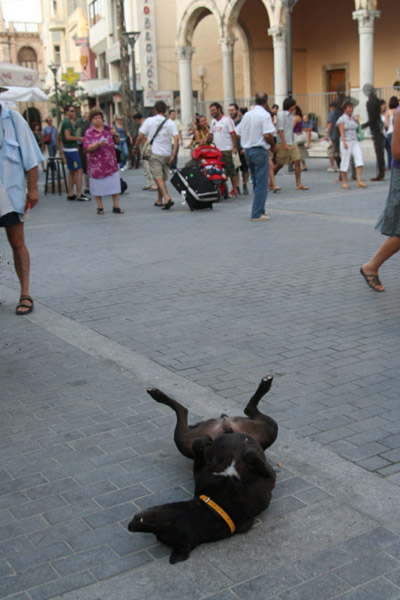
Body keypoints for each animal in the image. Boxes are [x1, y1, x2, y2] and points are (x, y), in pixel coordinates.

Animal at [128, 376, 278, 564]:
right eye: (159, 530)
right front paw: (210, 441)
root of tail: (224, 422)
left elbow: (202, 445)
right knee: (186, 412)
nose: (131, 525)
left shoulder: (266, 476)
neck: (218, 505)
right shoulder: (203, 471)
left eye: (161, 525)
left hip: (269, 429)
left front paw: (210, 441)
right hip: (183, 439)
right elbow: (200, 446)